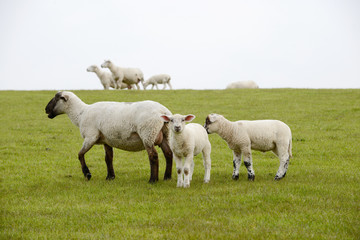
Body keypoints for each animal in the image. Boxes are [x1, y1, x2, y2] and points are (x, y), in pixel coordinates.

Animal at [44, 91, 174, 183]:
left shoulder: (91, 136)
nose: (45, 109)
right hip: (165, 134)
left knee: (153, 156)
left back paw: (153, 180)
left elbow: (80, 154)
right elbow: (108, 158)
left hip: (148, 133)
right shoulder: (106, 140)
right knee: (168, 153)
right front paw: (110, 177)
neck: (80, 114)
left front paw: (87, 174)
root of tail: (163, 111)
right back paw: (167, 177)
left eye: (56, 98)